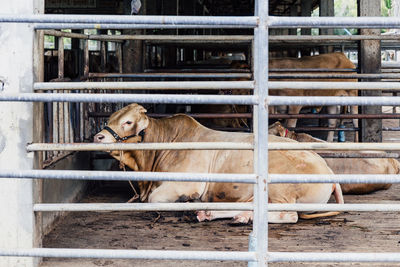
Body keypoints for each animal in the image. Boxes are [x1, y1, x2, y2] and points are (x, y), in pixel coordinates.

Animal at [94, 103, 344, 225]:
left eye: (128, 122)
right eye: (109, 119)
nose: (98, 137)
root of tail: (330, 172)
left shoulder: (184, 184)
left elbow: (155, 200)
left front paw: (187, 202)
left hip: (280, 189)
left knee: (289, 216)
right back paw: (215, 214)